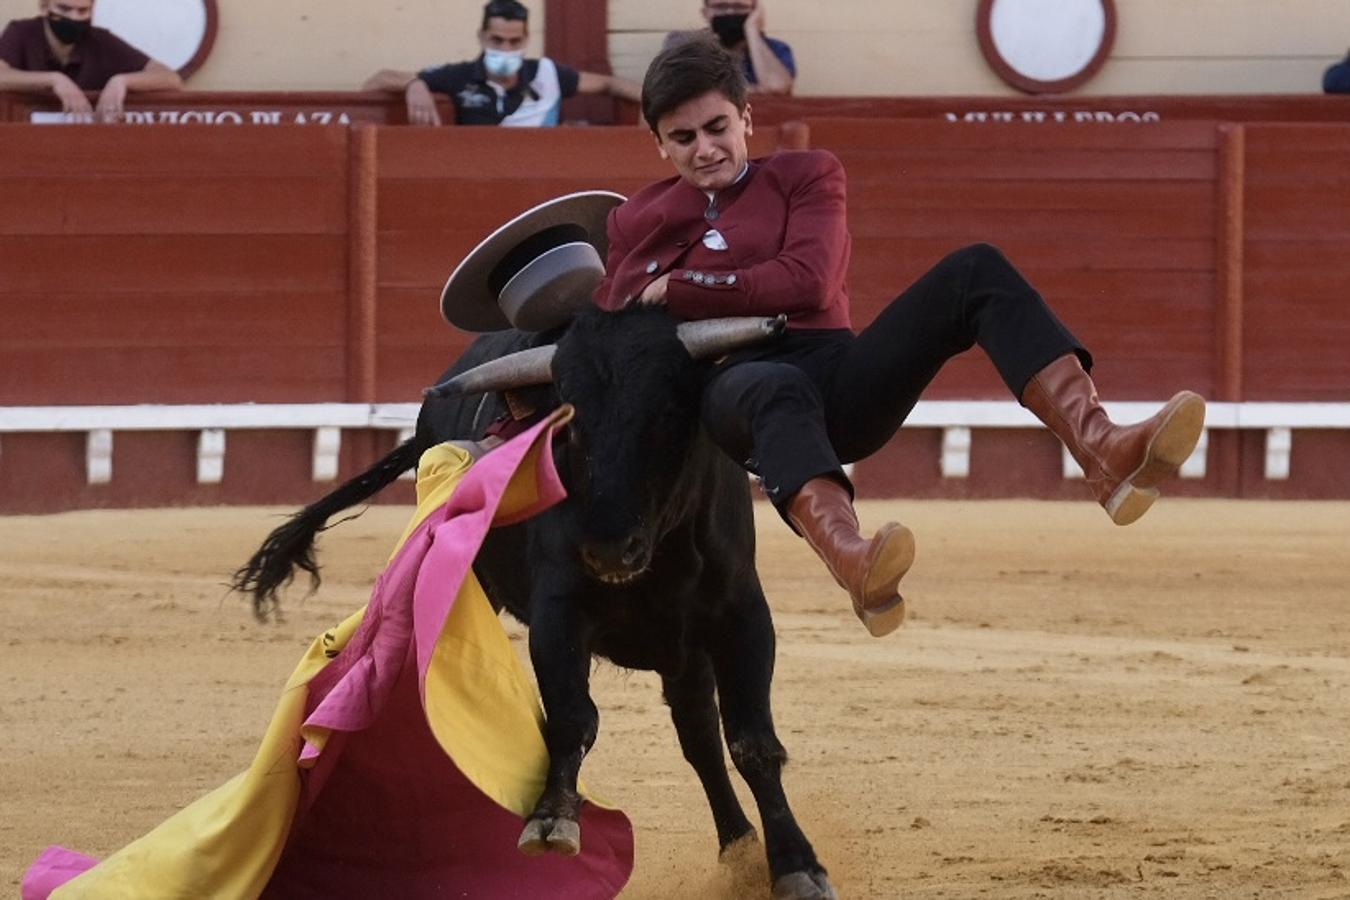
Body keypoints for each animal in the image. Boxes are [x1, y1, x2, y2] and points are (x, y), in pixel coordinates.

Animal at [237, 310, 837, 900]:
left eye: (669, 409)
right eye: (568, 419)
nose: (609, 548)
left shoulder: (741, 614)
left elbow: (751, 740)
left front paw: (797, 866)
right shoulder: (558, 614)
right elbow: (572, 718)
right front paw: (552, 819)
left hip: (686, 648)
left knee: (700, 737)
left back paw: (739, 852)